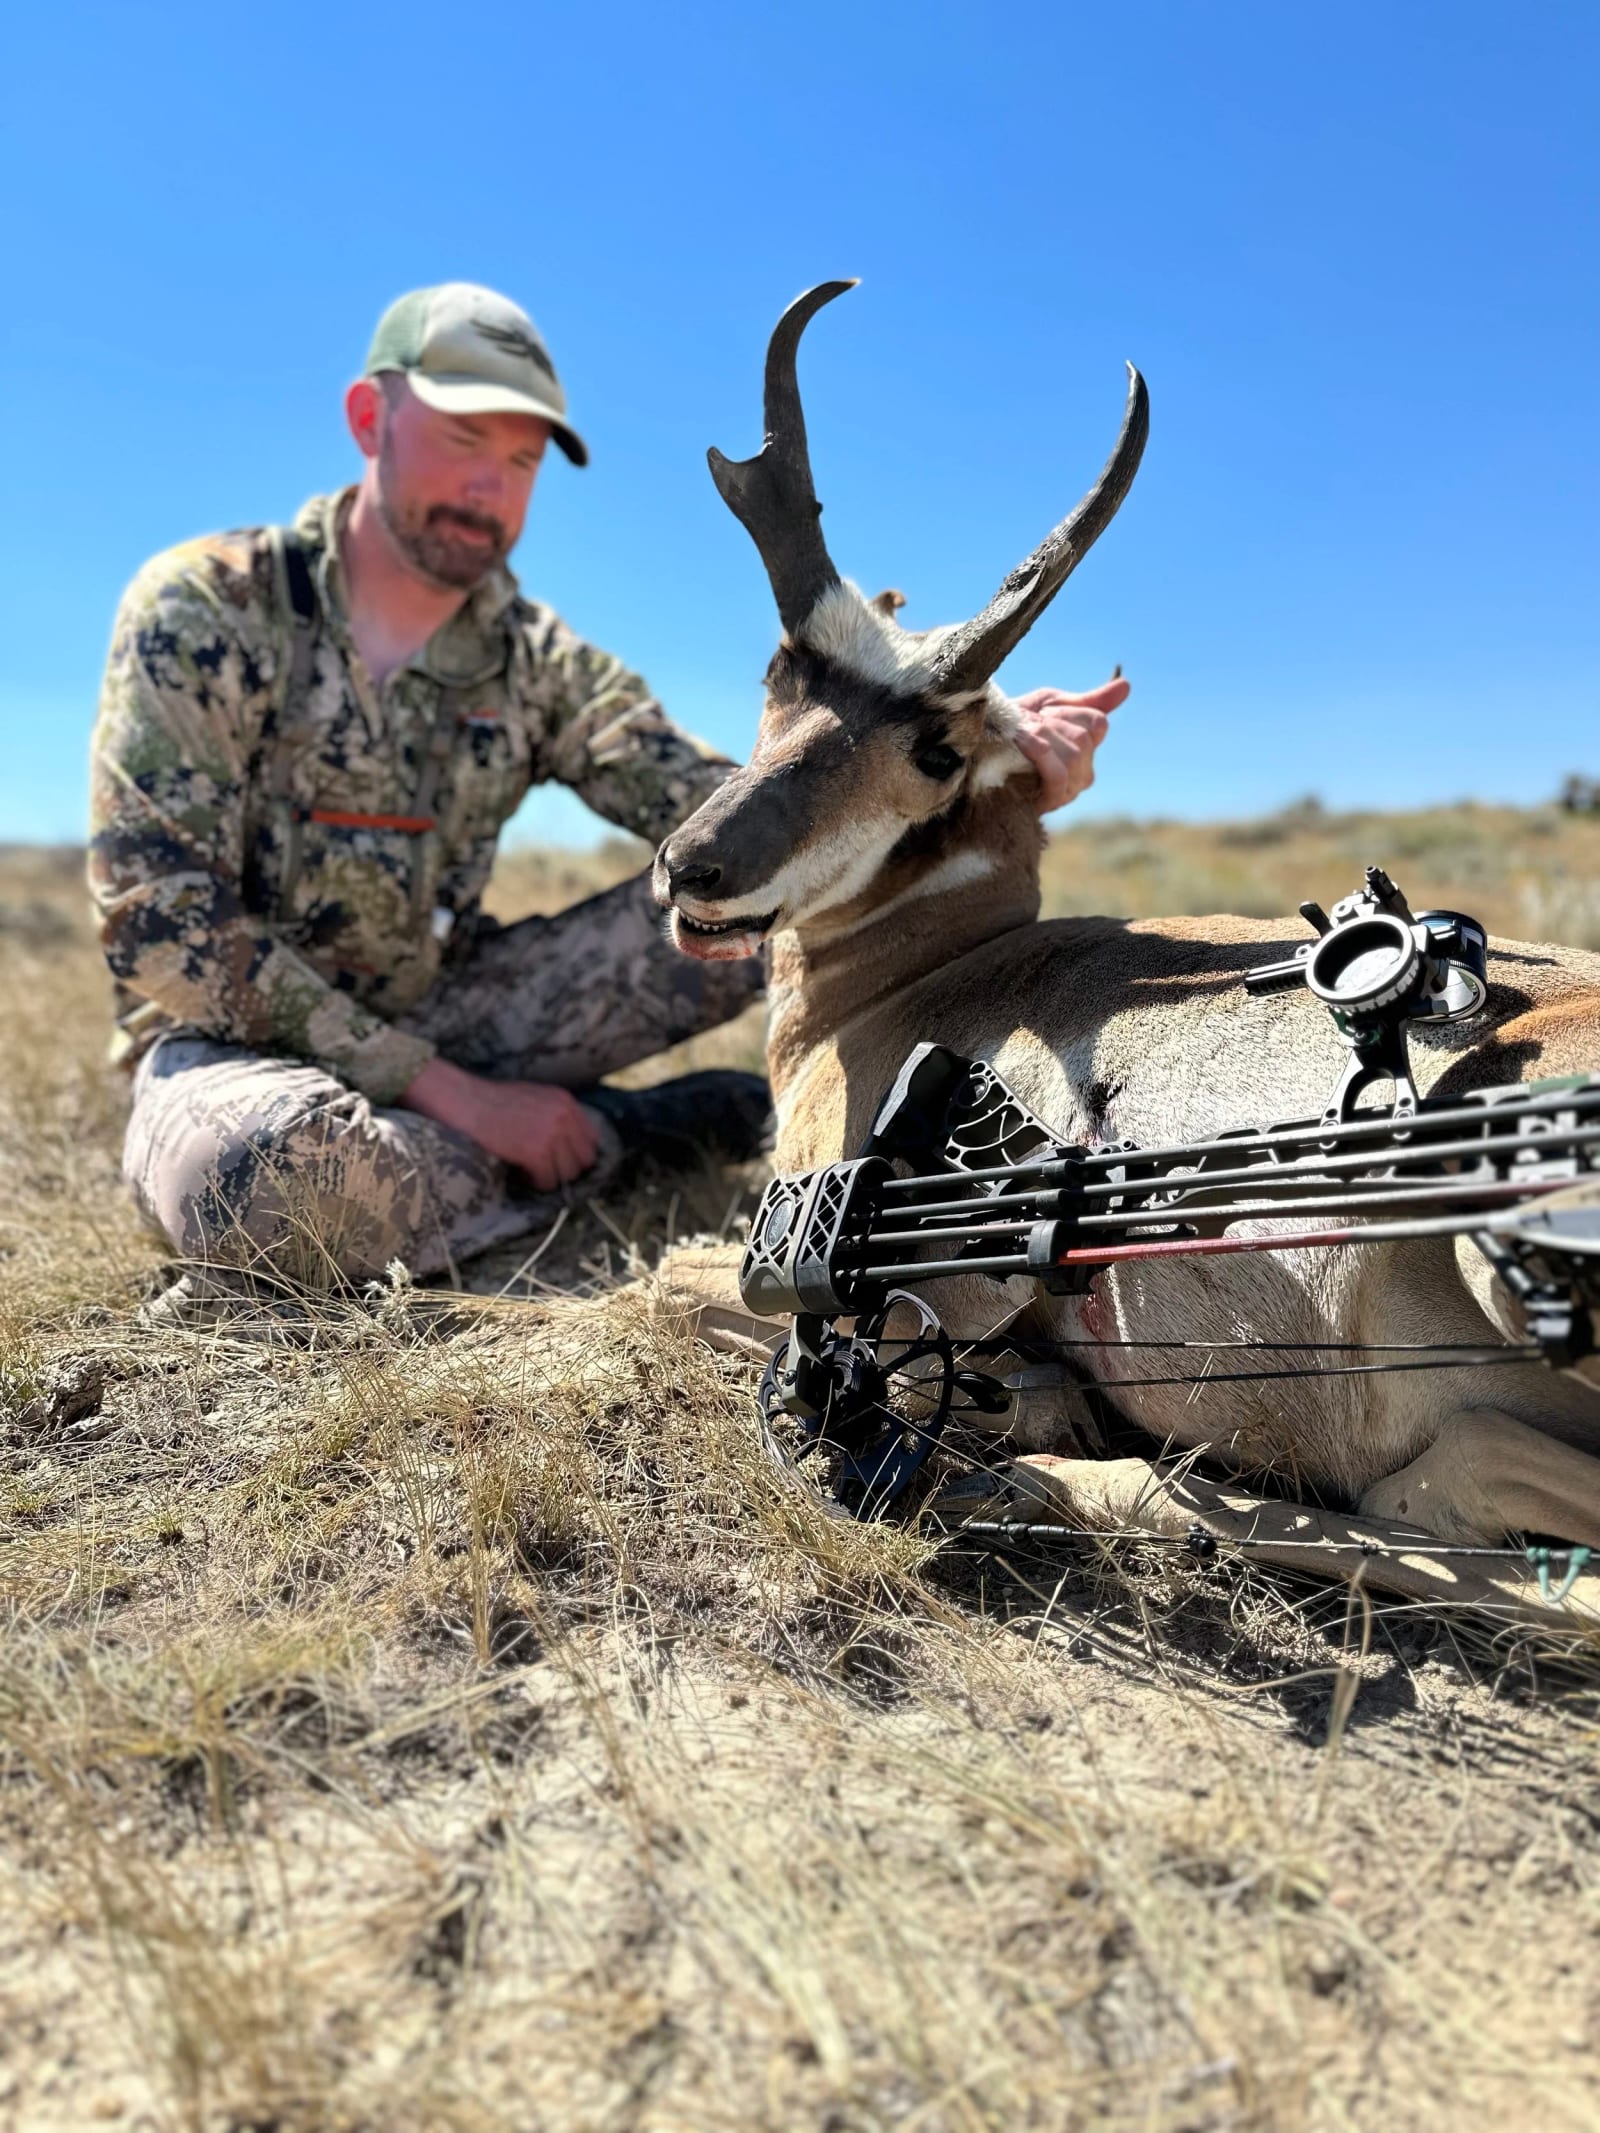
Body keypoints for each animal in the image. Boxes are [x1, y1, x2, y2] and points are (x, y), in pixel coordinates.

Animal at [653, 280, 1600, 1576]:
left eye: (938, 746)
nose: (693, 866)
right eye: (780, 670)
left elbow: (669, 1289)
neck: (924, 979)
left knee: (1451, 1486)